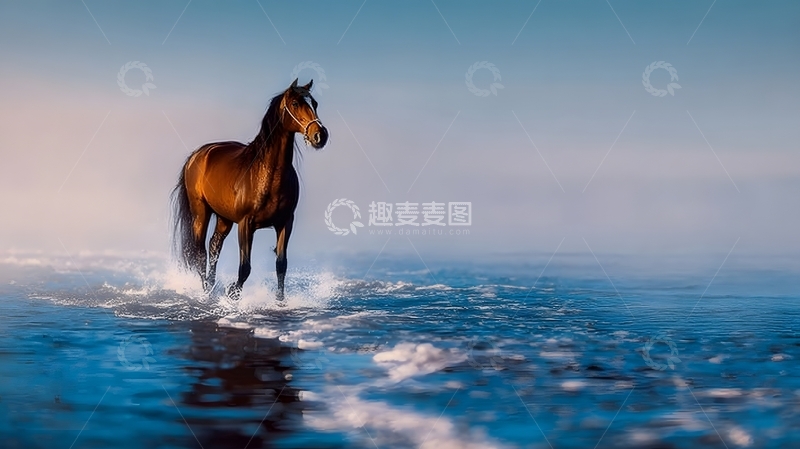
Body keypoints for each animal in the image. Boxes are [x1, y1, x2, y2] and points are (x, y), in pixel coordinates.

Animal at [171, 79, 328, 300]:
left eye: (314, 103)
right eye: (296, 103)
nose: (320, 135)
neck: (269, 174)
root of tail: (197, 155)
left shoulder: (285, 222)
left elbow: (281, 265)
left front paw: (280, 301)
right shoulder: (246, 224)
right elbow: (245, 267)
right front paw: (232, 293)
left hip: (224, 218)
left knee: (214, 246)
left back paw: (211, 286)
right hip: (200, 213)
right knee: (200, 253)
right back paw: (206, 292)